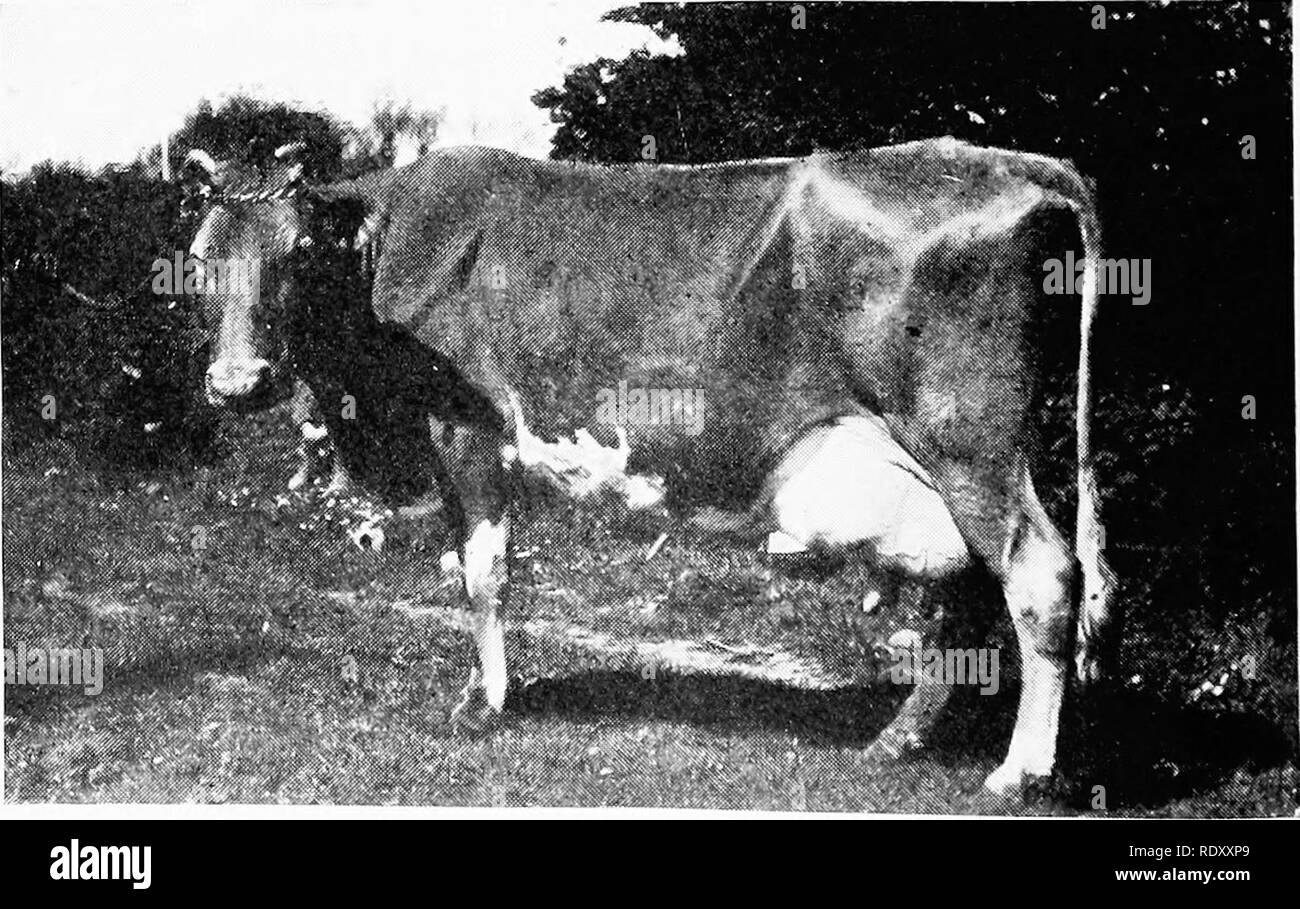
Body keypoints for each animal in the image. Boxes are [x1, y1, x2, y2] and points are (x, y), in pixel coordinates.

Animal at [190, 137, 1118, 795]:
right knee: (963, 597)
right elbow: (471, 568)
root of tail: (1014, 162)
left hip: (967, 443)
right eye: (200, 257)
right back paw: (894, 740)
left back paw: (1018, 772)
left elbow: (484, 571)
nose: (238, 381)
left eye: (296, 251)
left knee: (1039, 576)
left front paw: (485, 703)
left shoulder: (465, 432)